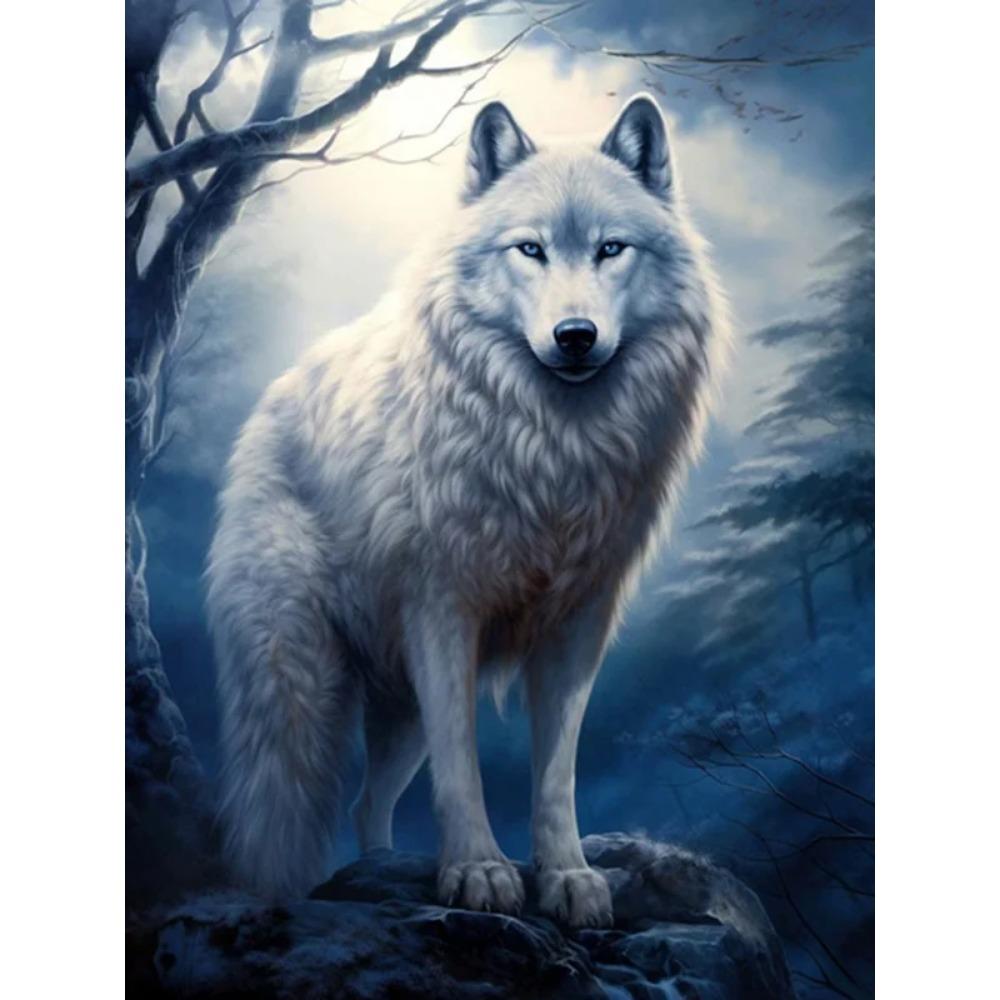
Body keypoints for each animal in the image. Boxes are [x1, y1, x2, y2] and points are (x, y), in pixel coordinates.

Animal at [207, 93, 728, 927]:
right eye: (531, 250)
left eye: (611, 250)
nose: (574, 336)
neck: (551, 452)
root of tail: (276, 395)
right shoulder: (442, 612)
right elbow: (465, 770)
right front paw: (480, 872)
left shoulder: (577, 628)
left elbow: (555, 776)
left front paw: (568, 877)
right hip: (301, 688)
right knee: (279, 808)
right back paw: (282, 890)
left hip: (400, 711)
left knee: (364, 805)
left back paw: (382, 865)